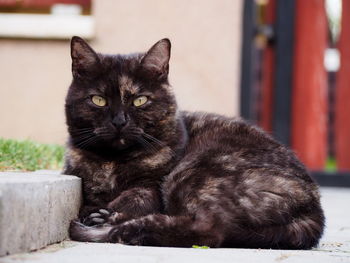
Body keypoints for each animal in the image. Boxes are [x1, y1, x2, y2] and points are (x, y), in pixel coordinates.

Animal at [64, 36, 324, 250]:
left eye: (140, 100)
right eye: (98, 100)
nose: (119, 121)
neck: (112, 162)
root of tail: (313, 206)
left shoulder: (152, 187)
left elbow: (134, 198)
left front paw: (99, 213)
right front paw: (94, 209)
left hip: (192, 173)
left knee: (208, 230)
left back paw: (103, 227)